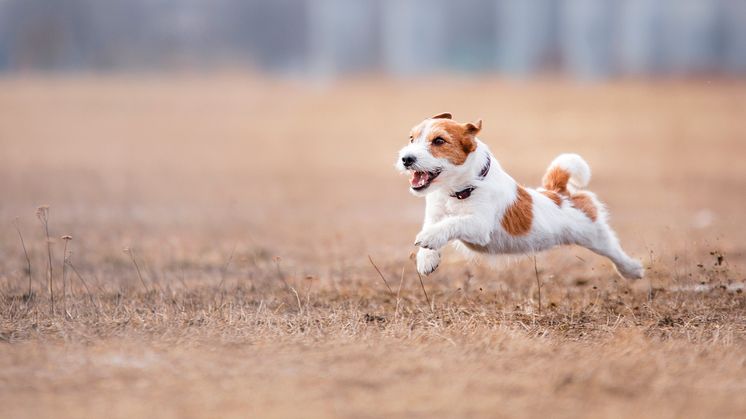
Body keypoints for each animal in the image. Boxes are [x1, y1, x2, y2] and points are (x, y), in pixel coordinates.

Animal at [392, 113, 644, 280]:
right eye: (412, 138)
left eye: (439, 141)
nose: (406, 158)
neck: (458, 191)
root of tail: (558, 193)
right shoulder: (434, 214)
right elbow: (435, 226)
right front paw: (427, 259)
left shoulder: (479, 226)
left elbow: (452, 223)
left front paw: (430, 238)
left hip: (595, 236)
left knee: (614, 251)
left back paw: (632, 270)